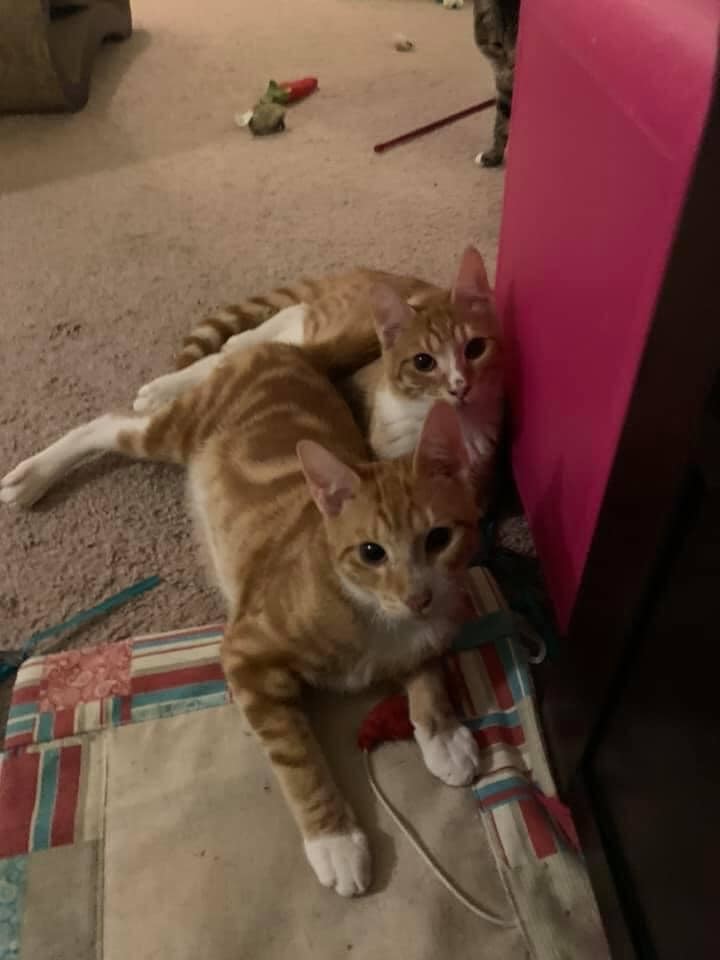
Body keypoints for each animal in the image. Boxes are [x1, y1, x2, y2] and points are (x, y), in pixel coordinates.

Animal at [4, 342, 484, 896]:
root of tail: (285, 347)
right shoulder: (246, 654)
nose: (418, 596)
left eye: (439, 539)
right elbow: (298, 756)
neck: (374, 616)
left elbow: (427, 668)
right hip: (175, 431)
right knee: (109, 424)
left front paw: (443, 736)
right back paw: (31, 477)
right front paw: (335, 840)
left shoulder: (432, 625)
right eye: (371, 552)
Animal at [136, 248, 506, 502]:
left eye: (475, 349)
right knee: (280, 327)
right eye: (423, 362)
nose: (460, 386)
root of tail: (374, 275)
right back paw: (165, 386)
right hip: (339, 330)